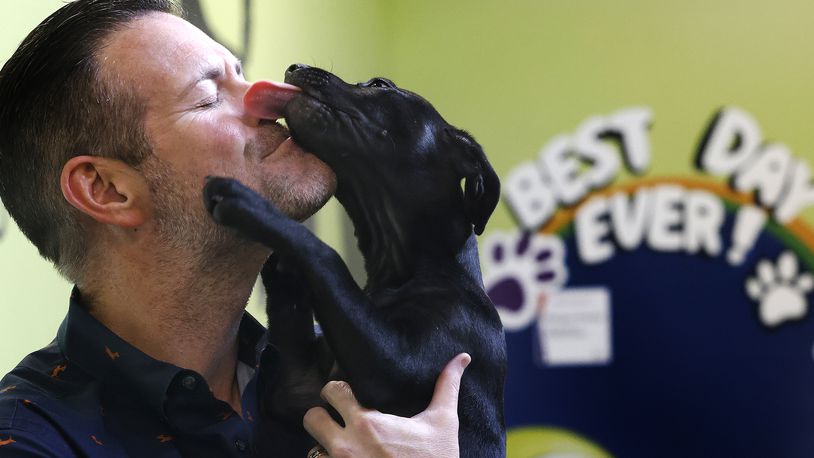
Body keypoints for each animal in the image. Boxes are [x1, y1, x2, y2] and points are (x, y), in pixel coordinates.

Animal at [204, 65, 506, 458]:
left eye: (379, 86)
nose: (294, 67)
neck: (402, 270)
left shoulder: (403, 364)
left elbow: (326, 255)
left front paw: (251, 203)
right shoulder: (300, 387)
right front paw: (280, 264)